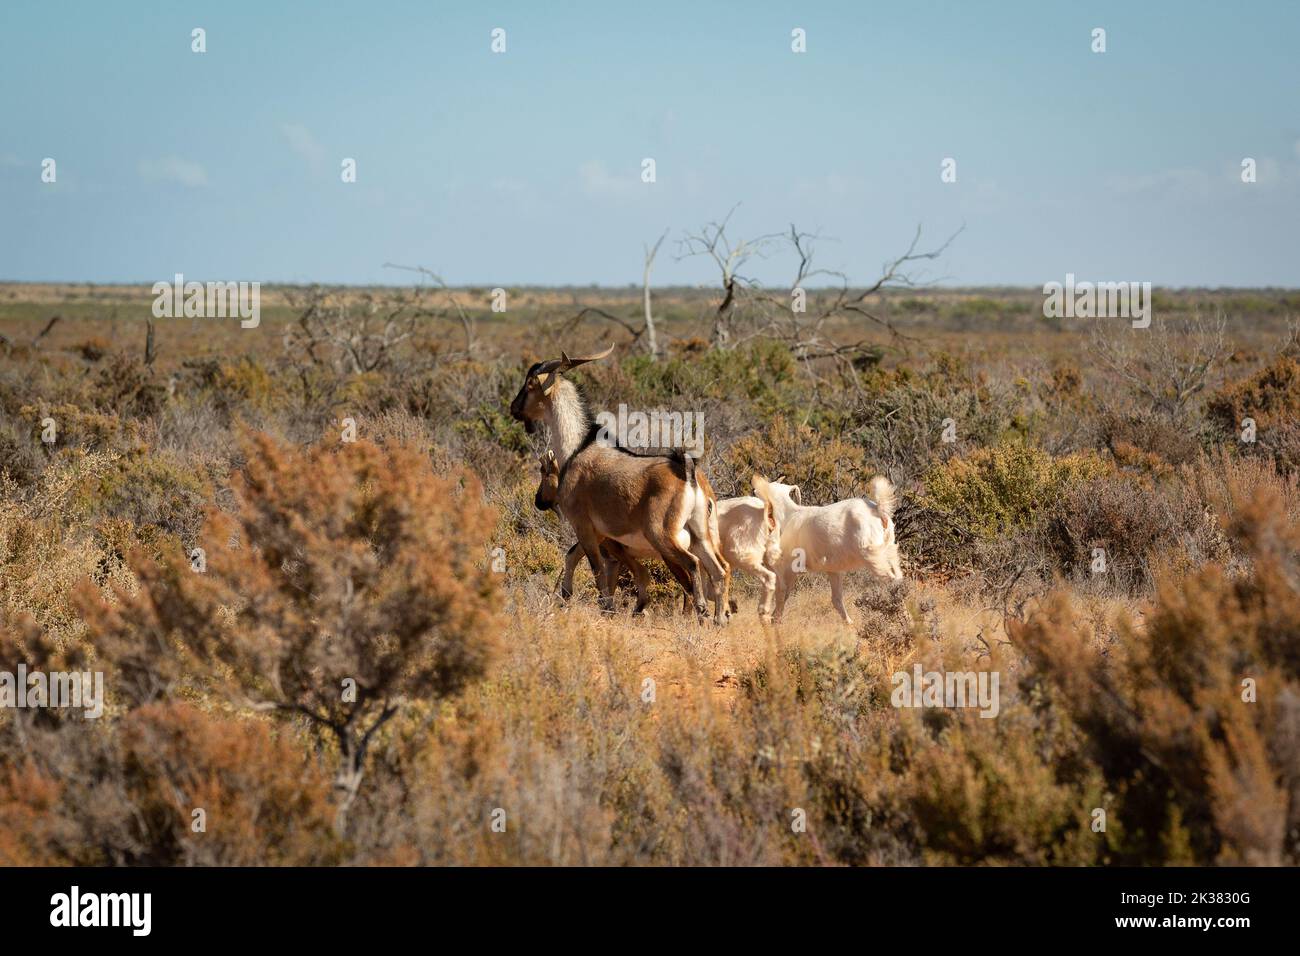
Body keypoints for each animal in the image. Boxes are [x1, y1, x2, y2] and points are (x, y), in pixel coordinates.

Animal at [511, 347, 730, 623]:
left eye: (530, 384)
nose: (514, 408)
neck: (576, 448)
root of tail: (688, 473)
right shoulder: (601, 534)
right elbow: (575, 558)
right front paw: (566, 597)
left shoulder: (584, 525)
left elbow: (596, 569)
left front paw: (607, 607)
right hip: (701, 532)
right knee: (720, 568)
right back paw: (720, 619)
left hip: (662, 534)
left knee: (692, 564)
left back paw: (702, 611)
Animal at [766, 475, 902, 624]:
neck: (788, 516)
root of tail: (878, 510)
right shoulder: (833, 570)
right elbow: (836, 599)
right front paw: (849, 624)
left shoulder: (789, 566)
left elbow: (782, 593)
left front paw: (773, 620)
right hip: (889, 551)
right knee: (899, 577)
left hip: (873, 557)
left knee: (892, 580)